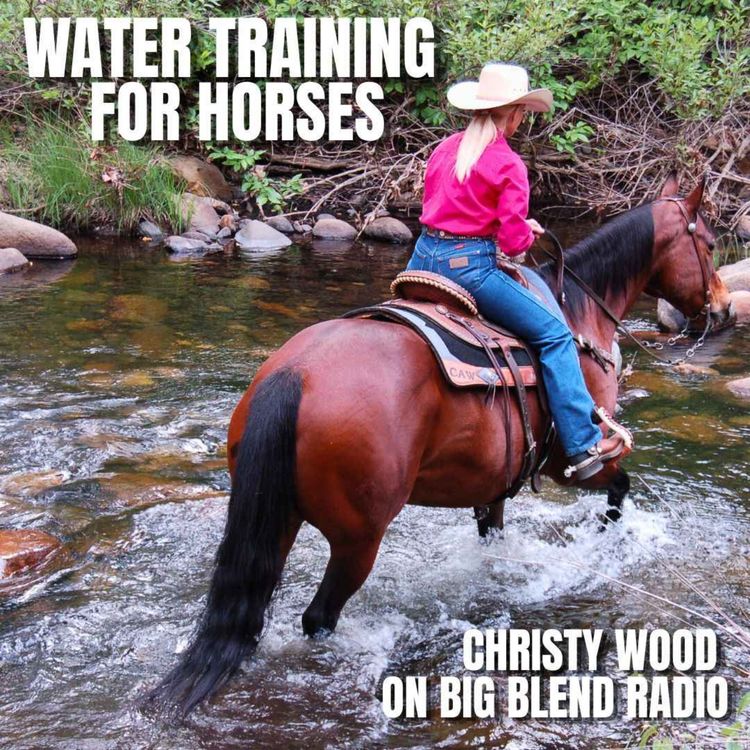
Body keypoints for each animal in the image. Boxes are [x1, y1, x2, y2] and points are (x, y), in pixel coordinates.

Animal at [146, 174, 733, 716]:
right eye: (707, 243)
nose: (725, 309)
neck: (577, 314)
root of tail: (293, 375)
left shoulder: (496, 481)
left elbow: (494, 535)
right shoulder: (571, 461)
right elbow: (618, 489)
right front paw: (604, 537)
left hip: (278, 516)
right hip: (358, 538)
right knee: (320, 617)